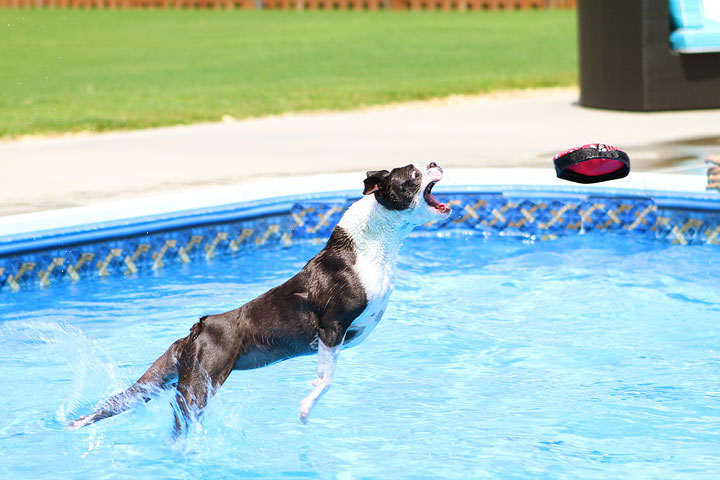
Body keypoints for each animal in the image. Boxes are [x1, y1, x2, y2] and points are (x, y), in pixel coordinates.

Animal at [69, 163, 450, 434]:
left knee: (122, 401)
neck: (375, 242)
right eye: (413, 173)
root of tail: (198, 329)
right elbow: (326, 380)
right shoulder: (331, 329)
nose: (434, 162)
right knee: (182, 419)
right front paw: (305, 409)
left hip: (166, 373)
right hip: (200, 383)